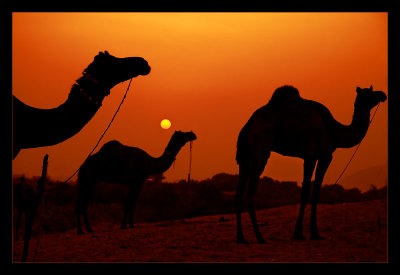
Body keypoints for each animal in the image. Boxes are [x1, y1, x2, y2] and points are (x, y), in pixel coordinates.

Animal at [236, 85, 386, 244]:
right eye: (369, 93)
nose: (383, 94)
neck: (333, 130)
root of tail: (247, 126)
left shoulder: (316, 157)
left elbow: (312, 192)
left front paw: (308, 233)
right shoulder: (318, 156)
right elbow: (309, 192)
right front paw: (305, 233)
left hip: (244, 158)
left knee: (239, 192)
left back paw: (241, 237)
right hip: (260, 151)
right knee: (250, 191)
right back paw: (260, 237)